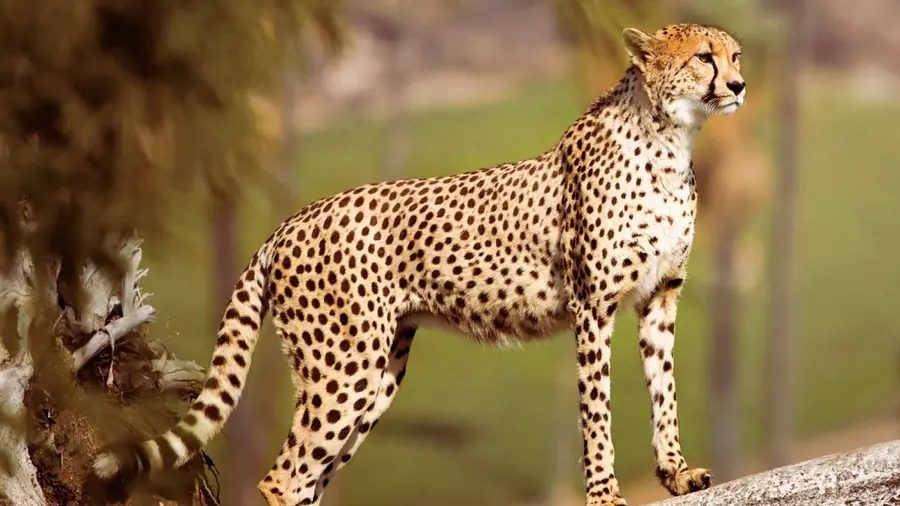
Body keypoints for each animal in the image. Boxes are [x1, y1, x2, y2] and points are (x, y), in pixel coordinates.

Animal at [88, 22, 746, 506]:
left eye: (735, 54)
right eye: (704, 58)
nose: (740, 84)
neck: (668, 140)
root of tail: (291, 221)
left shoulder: (660, 297)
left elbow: (665, 391)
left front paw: (677, 473)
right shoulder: (593, 307)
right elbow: (597, 411)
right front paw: (606, 495)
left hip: (376, 374)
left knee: (309, 476)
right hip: (344, 367)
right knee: (283, 477)